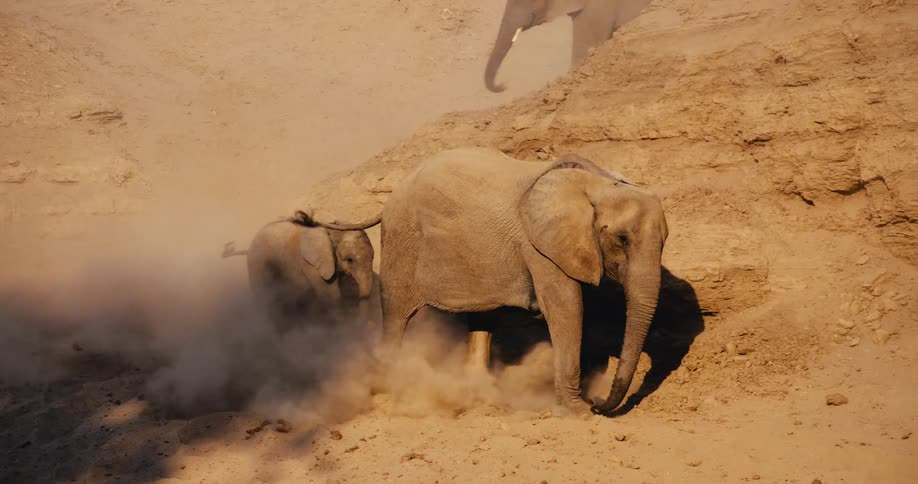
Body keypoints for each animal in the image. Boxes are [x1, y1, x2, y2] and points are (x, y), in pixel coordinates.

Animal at [222, 211, 376, 333]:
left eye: (373, 257)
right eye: (350, 260)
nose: (365, 325)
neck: (332, 231)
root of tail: (248, 249)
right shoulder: (311, 264)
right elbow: (331, 296)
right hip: (258, 269)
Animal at [312, 147, 668, 416]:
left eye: (665, 241)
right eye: (622, 239)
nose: (597, 402)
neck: (596, 183)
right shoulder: (539, 246)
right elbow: (566, 308)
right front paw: (577, 412)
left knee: (482, 316)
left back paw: (482, 393)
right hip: (401, 241)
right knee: (397, 315)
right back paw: (391, 385)